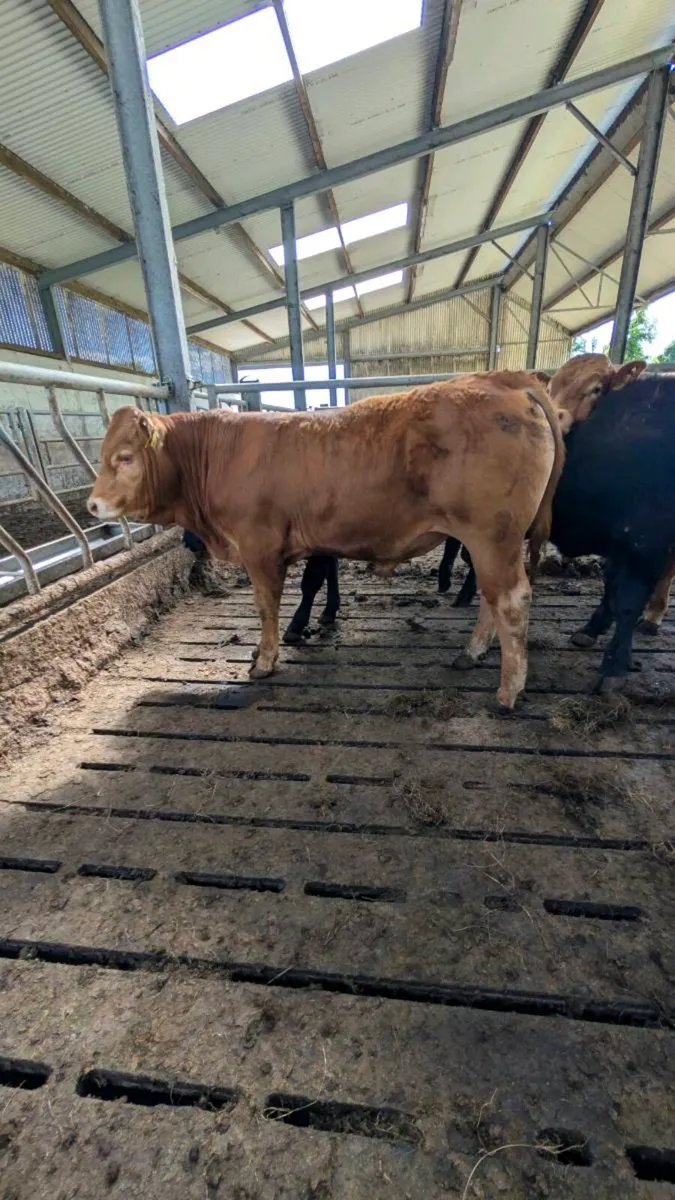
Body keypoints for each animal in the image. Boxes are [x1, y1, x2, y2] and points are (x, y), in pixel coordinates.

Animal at [87, 372, 564, 710]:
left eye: (124, 458)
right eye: (102, 454)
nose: (93, 505)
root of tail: (503, 380)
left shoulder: (259, 547)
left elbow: (267, 606)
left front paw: (264, 661)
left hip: (491, 536)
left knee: (511, 601)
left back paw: (508, 691)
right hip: (488, 542)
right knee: (491, 597)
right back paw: (472, 653)